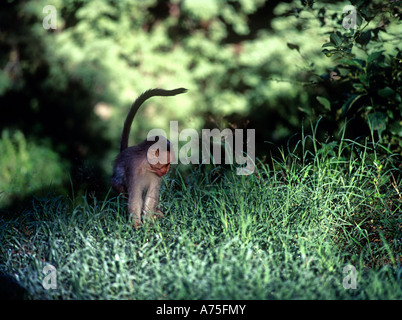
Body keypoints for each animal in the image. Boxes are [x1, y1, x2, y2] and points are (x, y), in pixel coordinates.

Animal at [110, 87, 188, 228]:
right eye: (166, 164)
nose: (167, 170)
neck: (146, 165)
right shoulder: (133, 170)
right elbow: (135, 198)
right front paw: (136, 224)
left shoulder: (156, 174)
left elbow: (150, 196)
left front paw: (149, 222)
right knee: (119, 186)